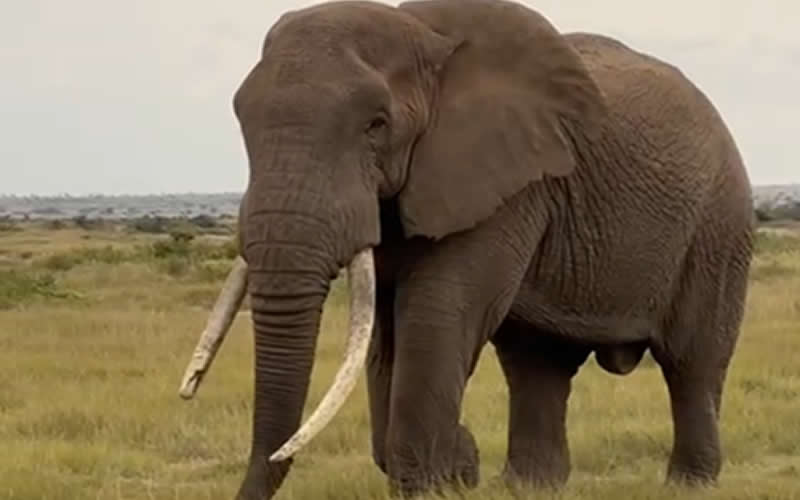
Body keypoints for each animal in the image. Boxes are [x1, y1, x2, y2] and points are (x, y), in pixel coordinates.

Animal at [177, 0, 755, 498]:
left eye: (376, 125)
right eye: (242, 121)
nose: (466, 460)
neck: (422, 39)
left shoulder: (507, 178)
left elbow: (437, 312)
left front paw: (439, 479)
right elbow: (386, 331)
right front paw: (455, 468)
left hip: (718, 224)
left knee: (692, 361)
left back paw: (689, 484)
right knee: (536, 363)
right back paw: (529, 488)